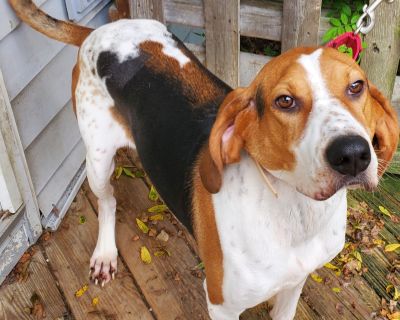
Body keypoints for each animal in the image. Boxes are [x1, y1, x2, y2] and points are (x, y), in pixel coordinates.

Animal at [9, 1, 400, 318]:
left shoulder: (293, 287)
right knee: (107, 202)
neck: (295, 213)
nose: (352, 155)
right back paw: (105, 253)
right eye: (285, 101)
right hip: (97, 159)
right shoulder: (222, 306)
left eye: (357, 86)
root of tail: (100, 30)